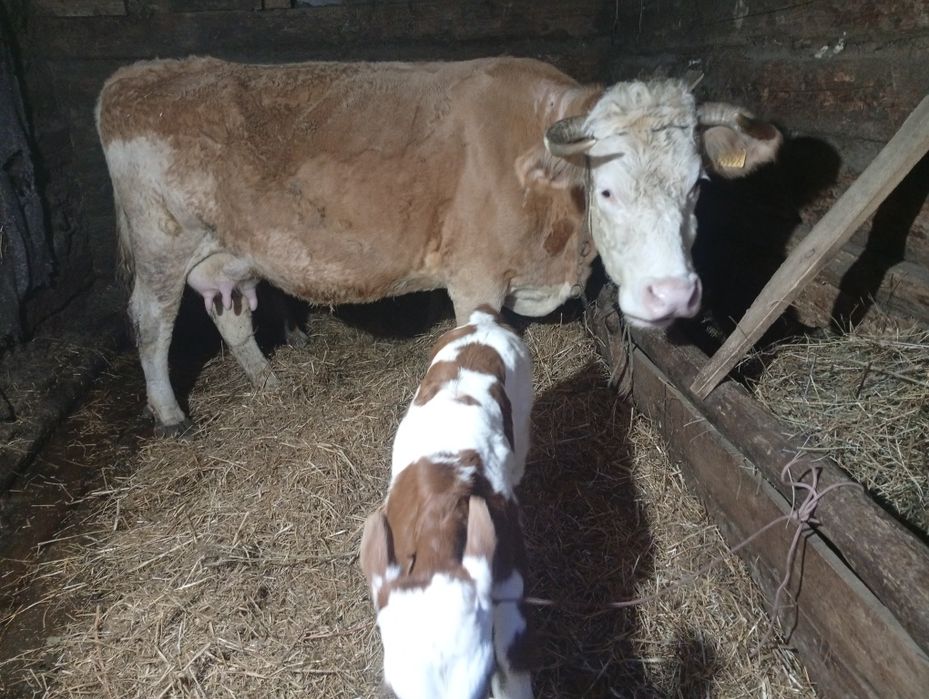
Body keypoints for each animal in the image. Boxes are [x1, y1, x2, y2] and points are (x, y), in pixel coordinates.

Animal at [95, 56, 781, 434]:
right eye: (606, 190)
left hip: (227, 254)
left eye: (697, 185)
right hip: (162, 244)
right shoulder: (474, 279)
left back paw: (269, 382)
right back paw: (170, 414)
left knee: (232, 317)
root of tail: (138, 75)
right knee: (151, 321)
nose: (671, 294)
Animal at [360, 306, 534, 699]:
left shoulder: (509, 580)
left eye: (482, 683)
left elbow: (513, 663)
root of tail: (482, 320)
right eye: (392, 691)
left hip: (525, 404)